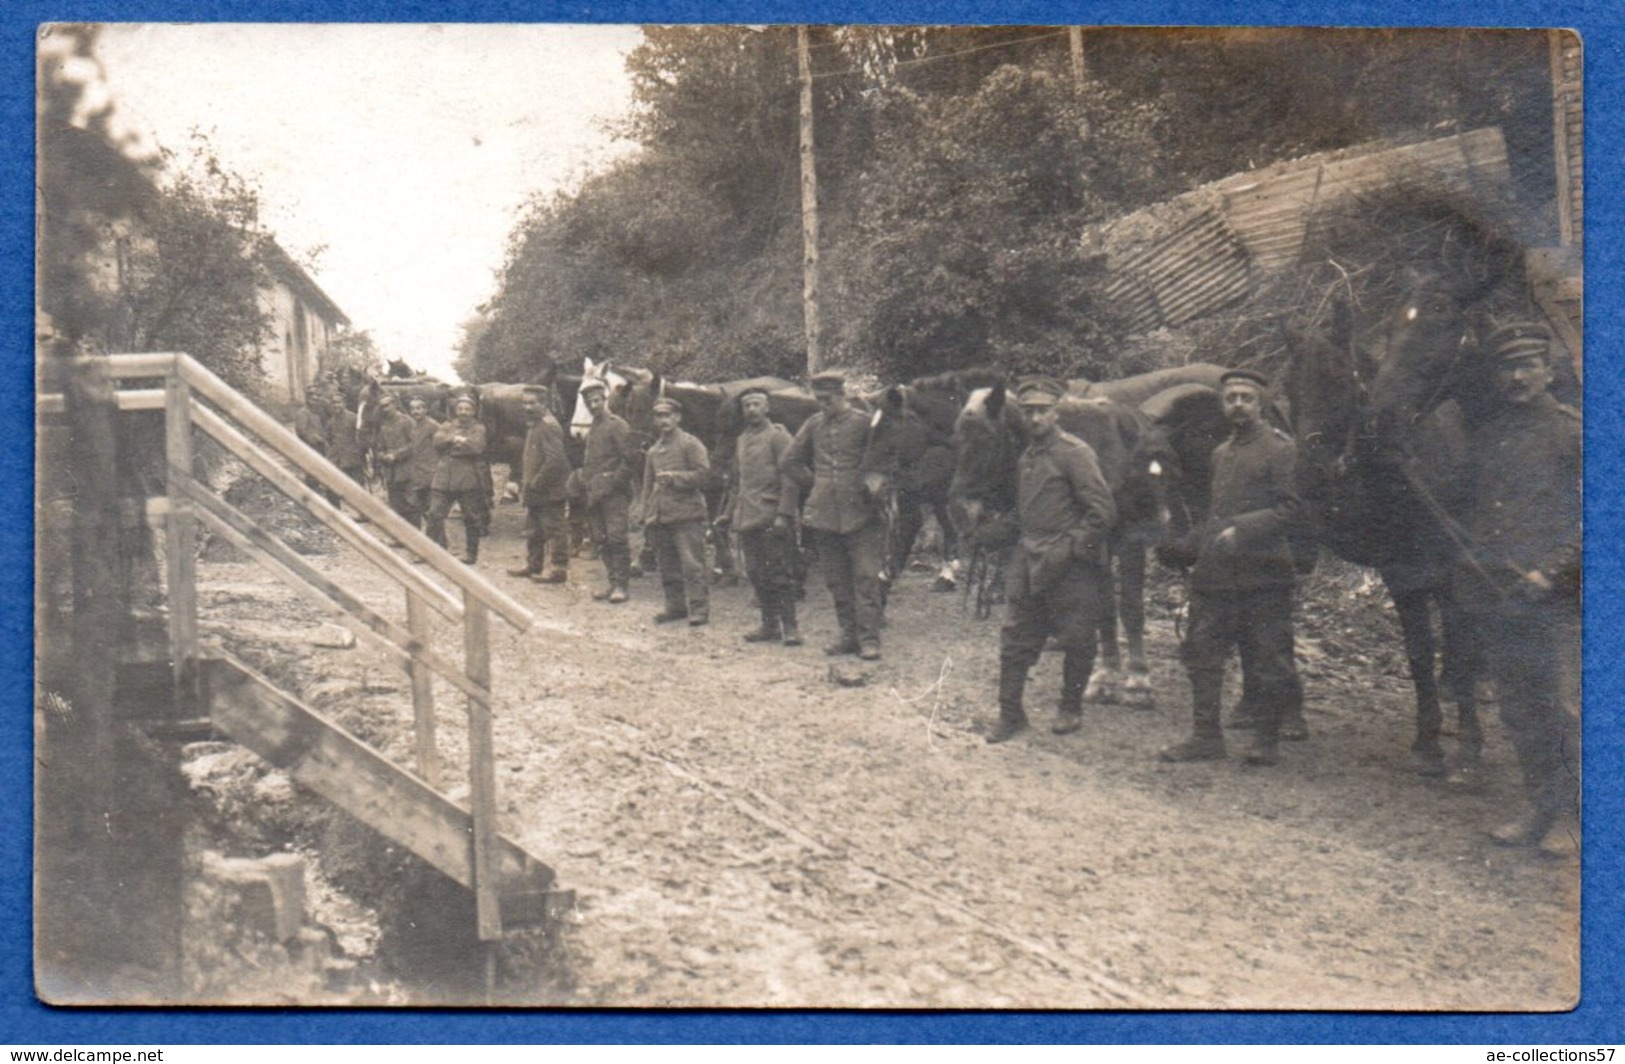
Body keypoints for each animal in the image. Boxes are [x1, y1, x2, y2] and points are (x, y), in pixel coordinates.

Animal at [1280, 282, 1488, 779]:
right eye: (1289, 388)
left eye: (1342, 379)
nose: (1308, 478)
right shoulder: (1401, 570)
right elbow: (1418, 651)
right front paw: (1428, 740)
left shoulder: (1447, 565)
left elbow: (1455, 638)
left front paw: (1466, 744)